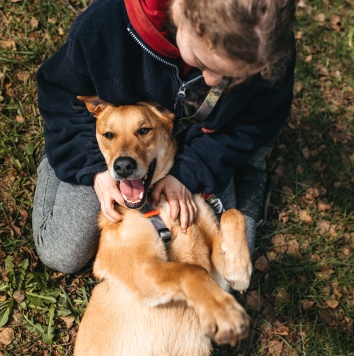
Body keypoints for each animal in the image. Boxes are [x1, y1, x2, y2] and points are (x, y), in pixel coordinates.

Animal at [74, 97, 252, 356]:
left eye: (144, 130)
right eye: (108, 135)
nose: (123, 166)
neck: (158, 204)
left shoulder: (216, 276)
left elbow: (233, 213)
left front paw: (239, 269)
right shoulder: (141, 269)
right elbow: (191, 270)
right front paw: (223, 311)